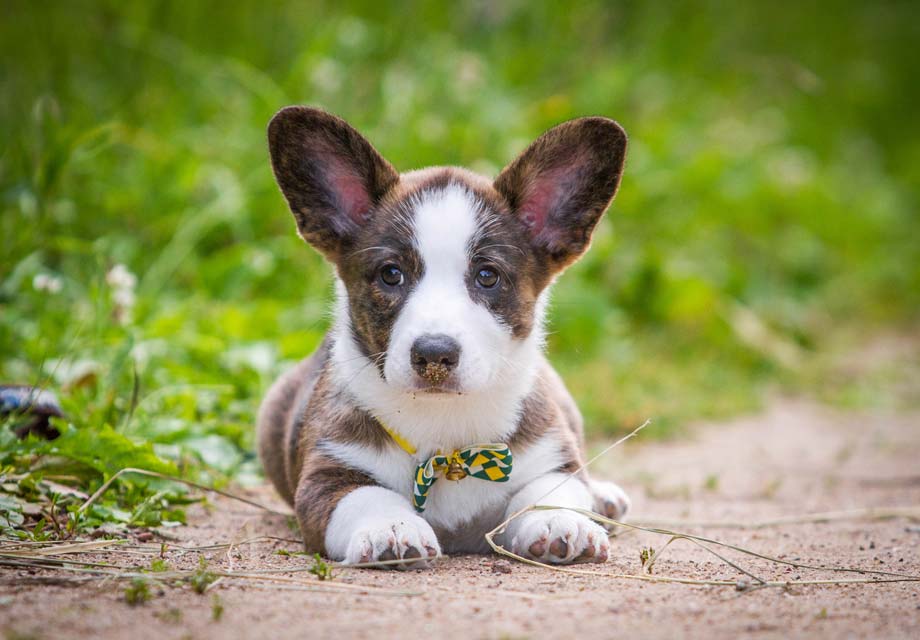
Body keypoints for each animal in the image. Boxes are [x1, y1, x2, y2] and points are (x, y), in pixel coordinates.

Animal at [258, 107, 632, 568]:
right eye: (391, 274)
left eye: (487, 276)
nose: (433, 354)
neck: (447, 434)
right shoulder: (324, 476)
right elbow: (366, 496)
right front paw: (391, 528)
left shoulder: (550, 458)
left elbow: (550, 491)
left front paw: (560, 521)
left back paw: (604, 497)